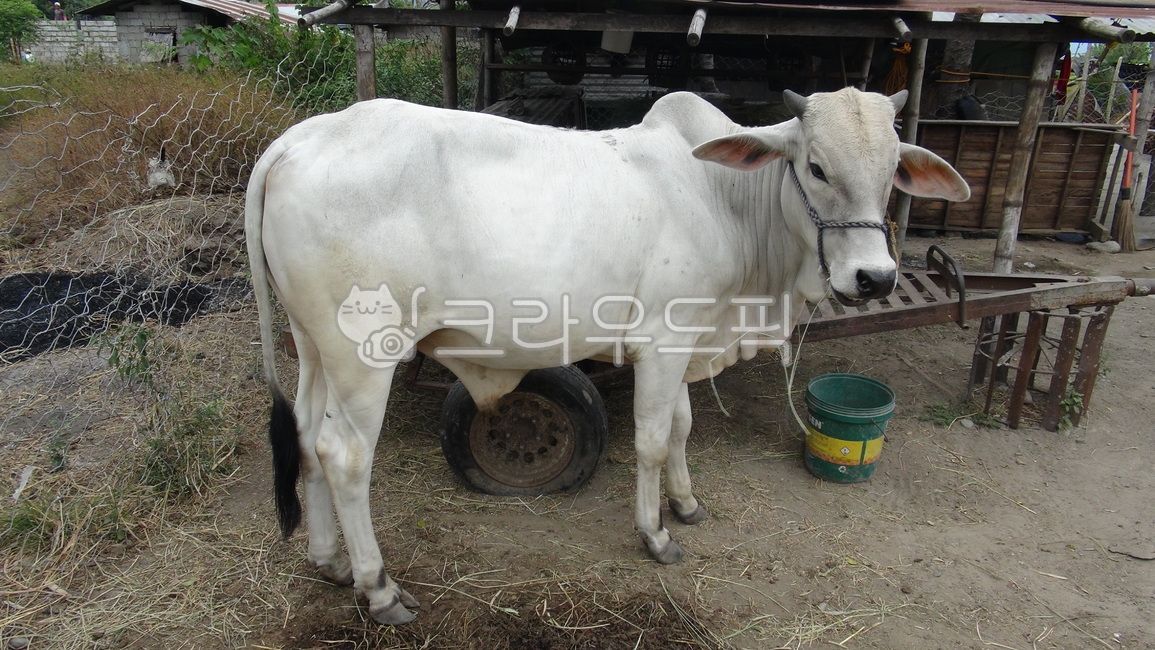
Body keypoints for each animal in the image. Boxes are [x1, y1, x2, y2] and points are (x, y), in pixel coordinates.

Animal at [244, 87, 970, 625]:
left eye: (891, 173)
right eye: (816, 167)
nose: (873, 277)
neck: (721, 197)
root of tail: (297, 140)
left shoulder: (686, 336)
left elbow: (681, 426)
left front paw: (686, 503)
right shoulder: (662, 341)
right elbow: (650, 439)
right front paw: (656, 534)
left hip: (314, 347)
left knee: (306, 438)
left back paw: (330, 561)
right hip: (364, 354)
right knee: (345, 456)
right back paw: (379, 587)